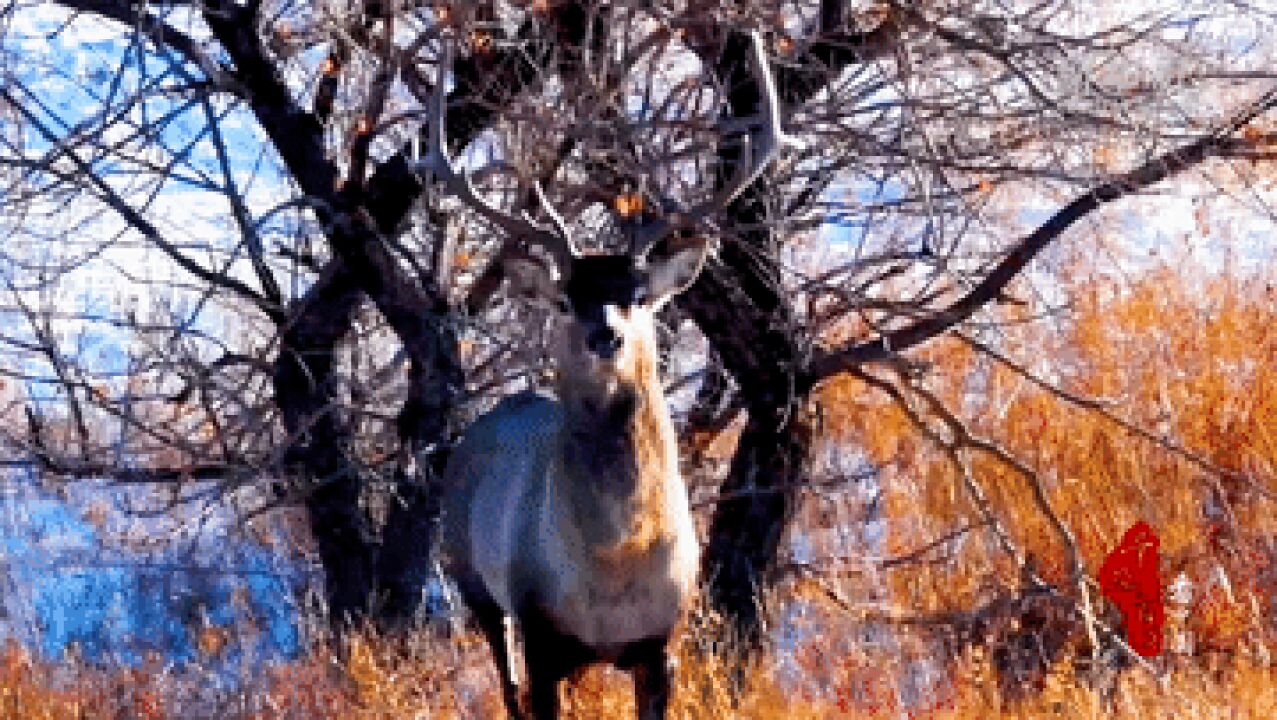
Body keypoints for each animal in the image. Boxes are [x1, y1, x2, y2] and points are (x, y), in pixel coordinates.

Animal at [418, 30, 791, 714]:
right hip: (469, 575)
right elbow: (528, 691)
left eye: (640, 294)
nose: (605, 334)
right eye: (566, 299)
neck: (611, 573)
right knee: (505, 686)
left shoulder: (661, 642)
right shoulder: (540, 634)